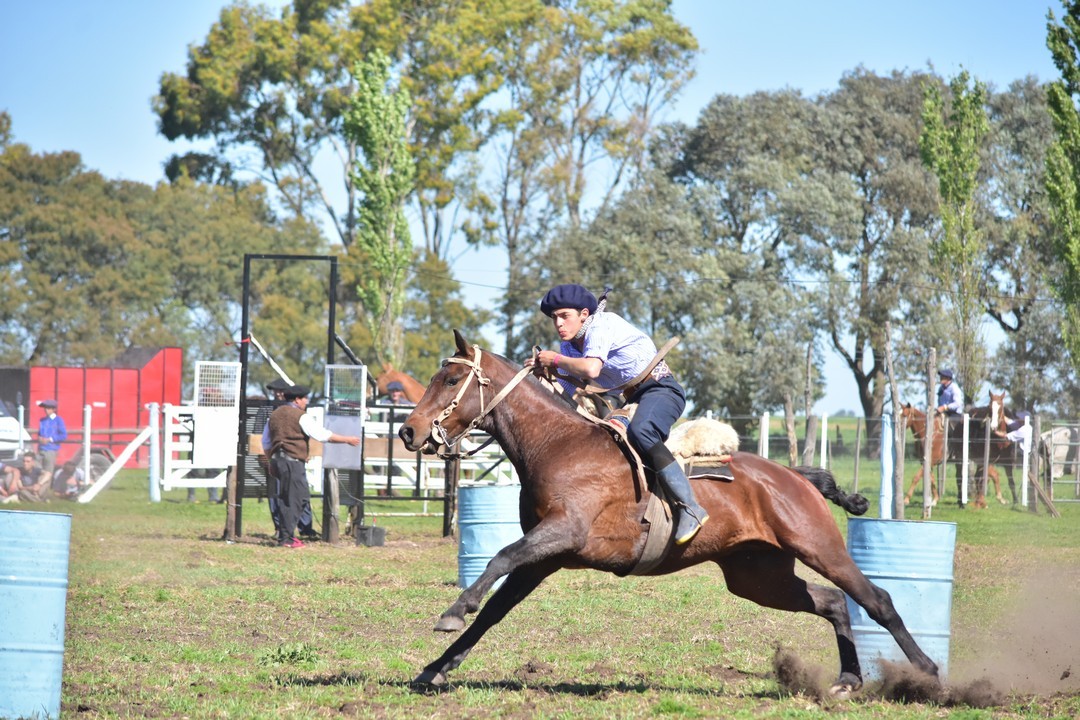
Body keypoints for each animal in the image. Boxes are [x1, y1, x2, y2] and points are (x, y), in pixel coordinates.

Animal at [397, 334, 937, 695]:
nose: (408, 431)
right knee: (831, 602)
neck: (556, 444)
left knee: (876, 599)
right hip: (757, 575)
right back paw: (847, 679)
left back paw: (927, 673)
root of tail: (793, 476)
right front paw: (436, 667)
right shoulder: (545, 556)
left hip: (819, 546)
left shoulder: (562, 533)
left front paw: (452, 612)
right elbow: (496, 608)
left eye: (450, 378)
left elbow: (498, 559)